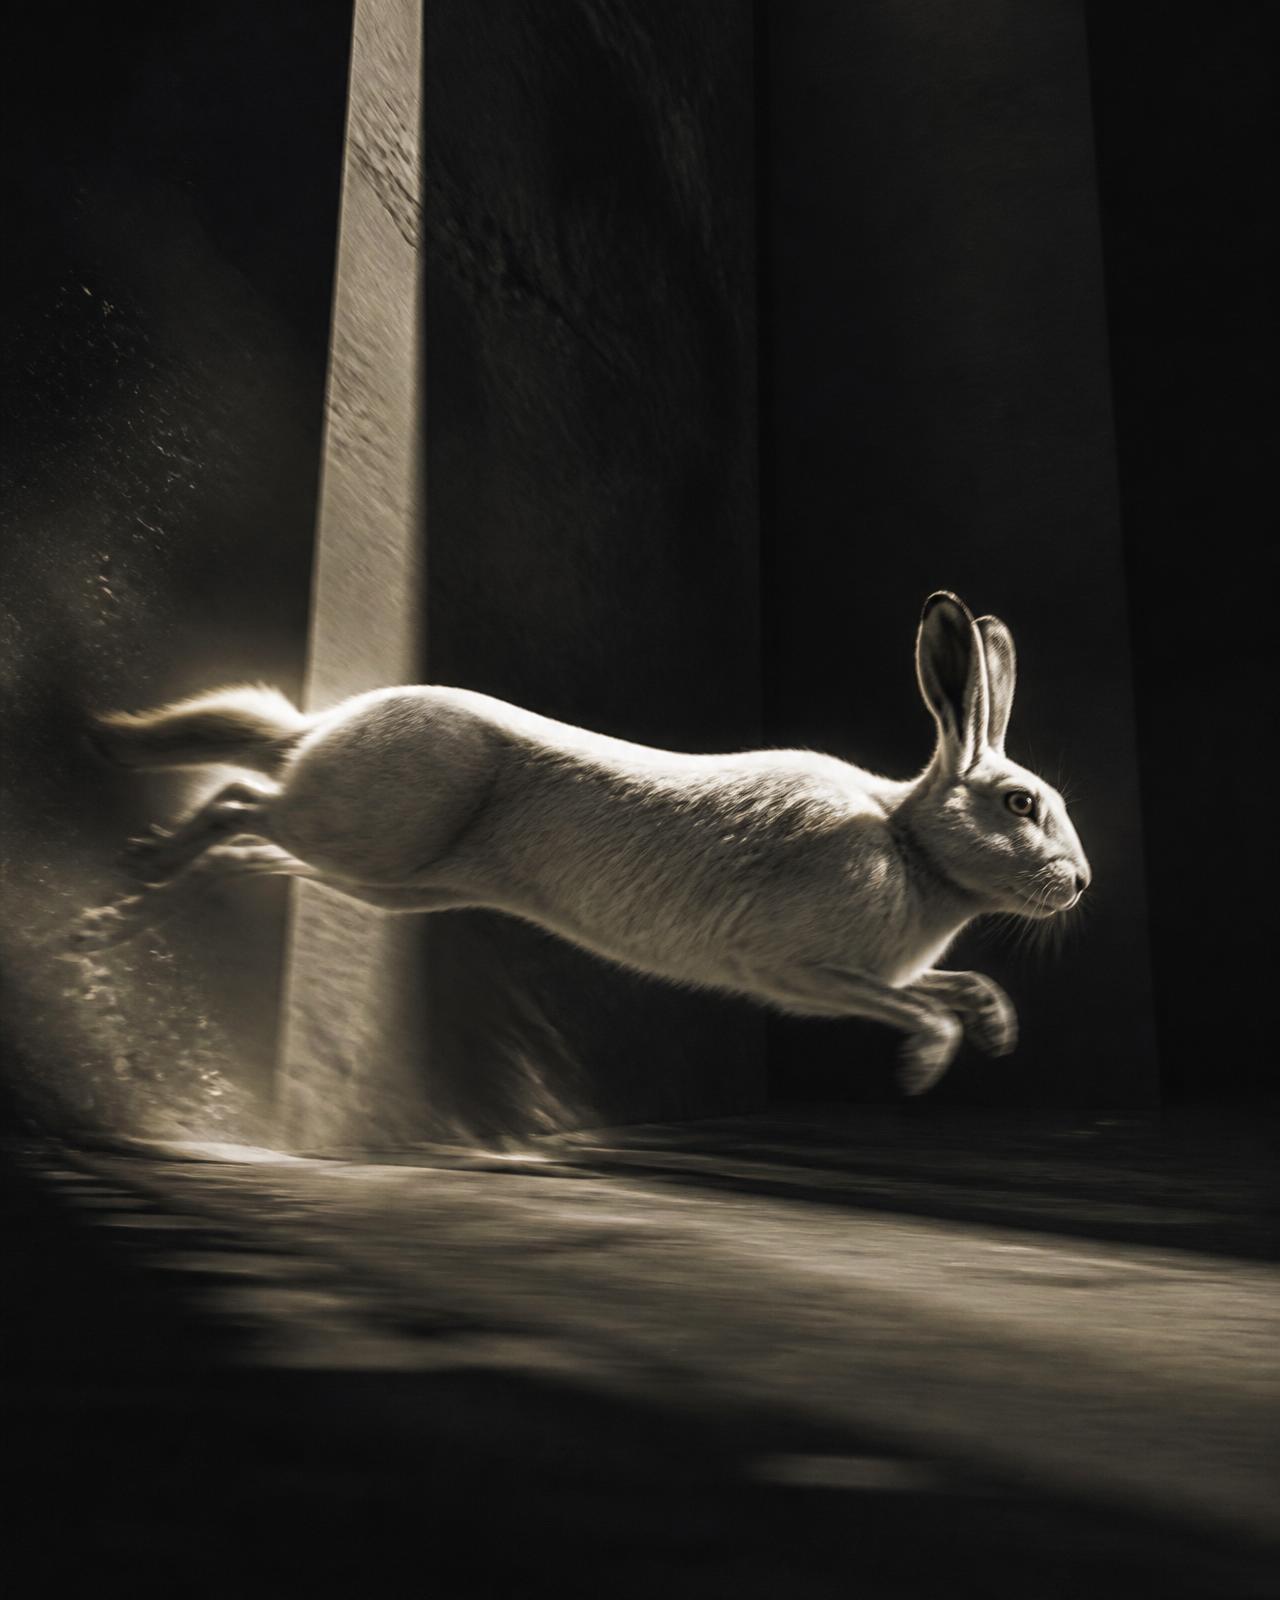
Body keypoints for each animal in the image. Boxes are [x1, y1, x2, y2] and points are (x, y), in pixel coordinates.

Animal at [73, 591, 1090, 1095]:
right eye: (1019, 803)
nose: (1080, 884)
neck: (908, 842)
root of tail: (322, 733)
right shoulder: (799, 969)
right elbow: (917, 1008)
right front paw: (925, 1070)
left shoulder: (857, 976)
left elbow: (953, 988)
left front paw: (997, 1030)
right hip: (370, 832)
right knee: (242, 800)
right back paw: (120, 888)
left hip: (388, 878)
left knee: (256, 835)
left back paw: (134, 901)